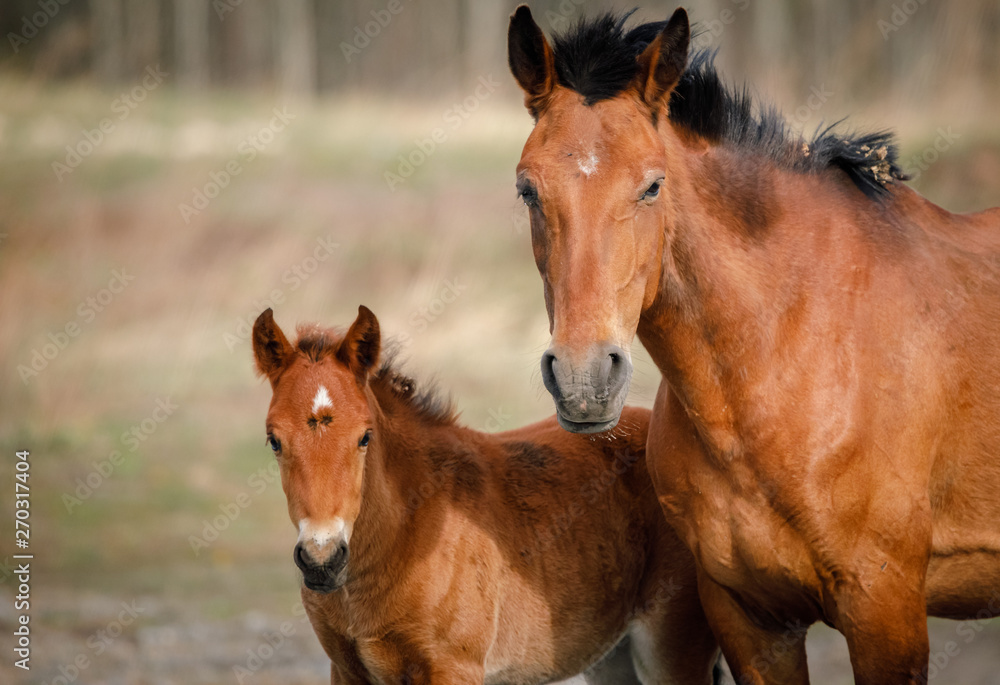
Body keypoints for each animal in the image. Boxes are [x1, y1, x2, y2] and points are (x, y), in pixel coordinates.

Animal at [251, 305, 720, 684]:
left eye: (365, 436)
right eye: (274, 440)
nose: (322, 559)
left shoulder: (453, 668)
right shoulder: (347, 670)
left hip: (671, 648)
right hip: (612, 657)